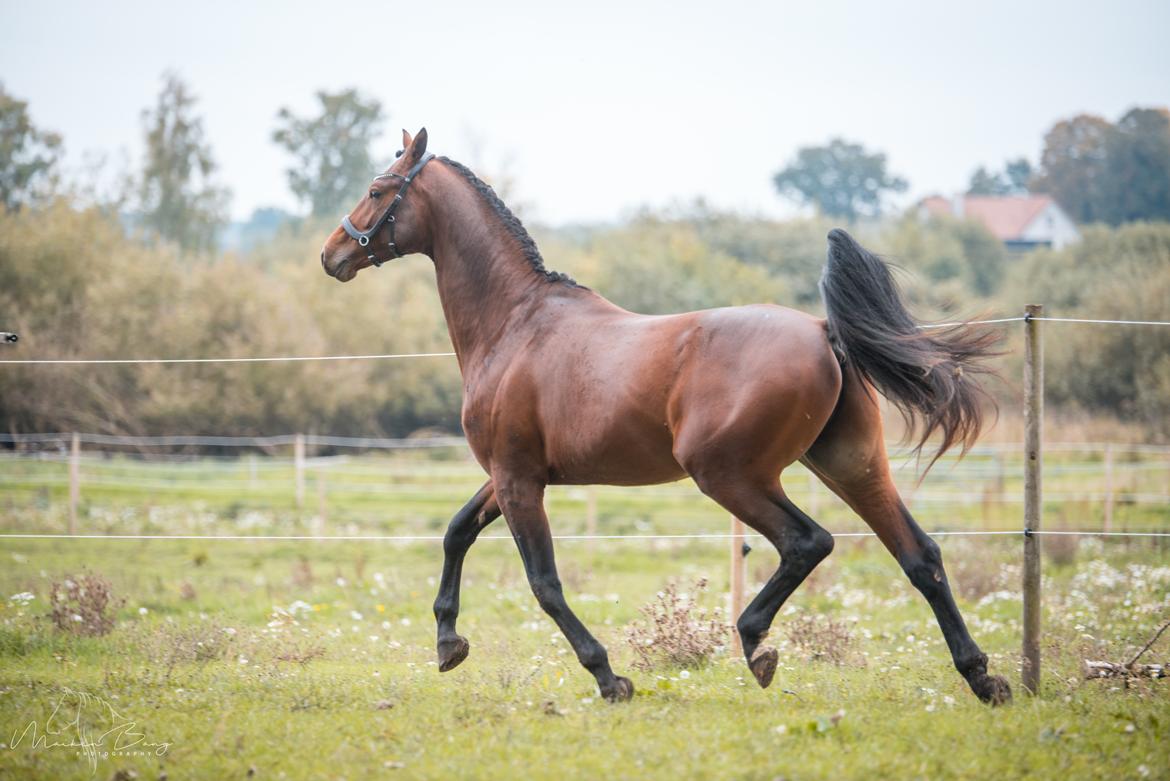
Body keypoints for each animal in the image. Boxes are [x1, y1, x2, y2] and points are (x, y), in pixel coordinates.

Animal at [322, 125, 1015, 706]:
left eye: (377, 190)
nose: (332, 255)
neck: (514, 323)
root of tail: (824, 332)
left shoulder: (518, 480)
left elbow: (544, 583)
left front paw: (609, 677)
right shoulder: (511, 474)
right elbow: (456, 531)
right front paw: (449, 645)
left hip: (730, 474)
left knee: (807, 542)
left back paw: (756, 645)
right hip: (850, 464)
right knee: (920, 556)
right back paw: (983, 678)